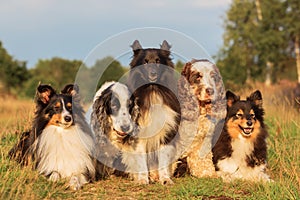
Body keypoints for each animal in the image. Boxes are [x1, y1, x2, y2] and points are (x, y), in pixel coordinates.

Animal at [126, 40, 180, 184]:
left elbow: (163, 160)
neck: (153, 90)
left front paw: (165, 179)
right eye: (145, 62)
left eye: (157, 61)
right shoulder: (139, 135)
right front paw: (142, 180)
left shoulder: (166, 133)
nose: (153, 74)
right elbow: (141, 161)